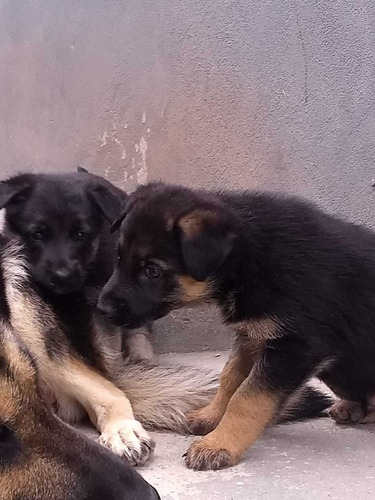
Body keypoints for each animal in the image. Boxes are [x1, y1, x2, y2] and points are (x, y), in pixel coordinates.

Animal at [97, 183, 375, 468]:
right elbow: (230, 378)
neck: (249, 256)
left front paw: (219, 444)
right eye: (119, 256)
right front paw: (210, 417)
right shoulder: (253, 334)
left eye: (152, 271)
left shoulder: (294, 347)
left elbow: (247, 398)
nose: (101, 309)